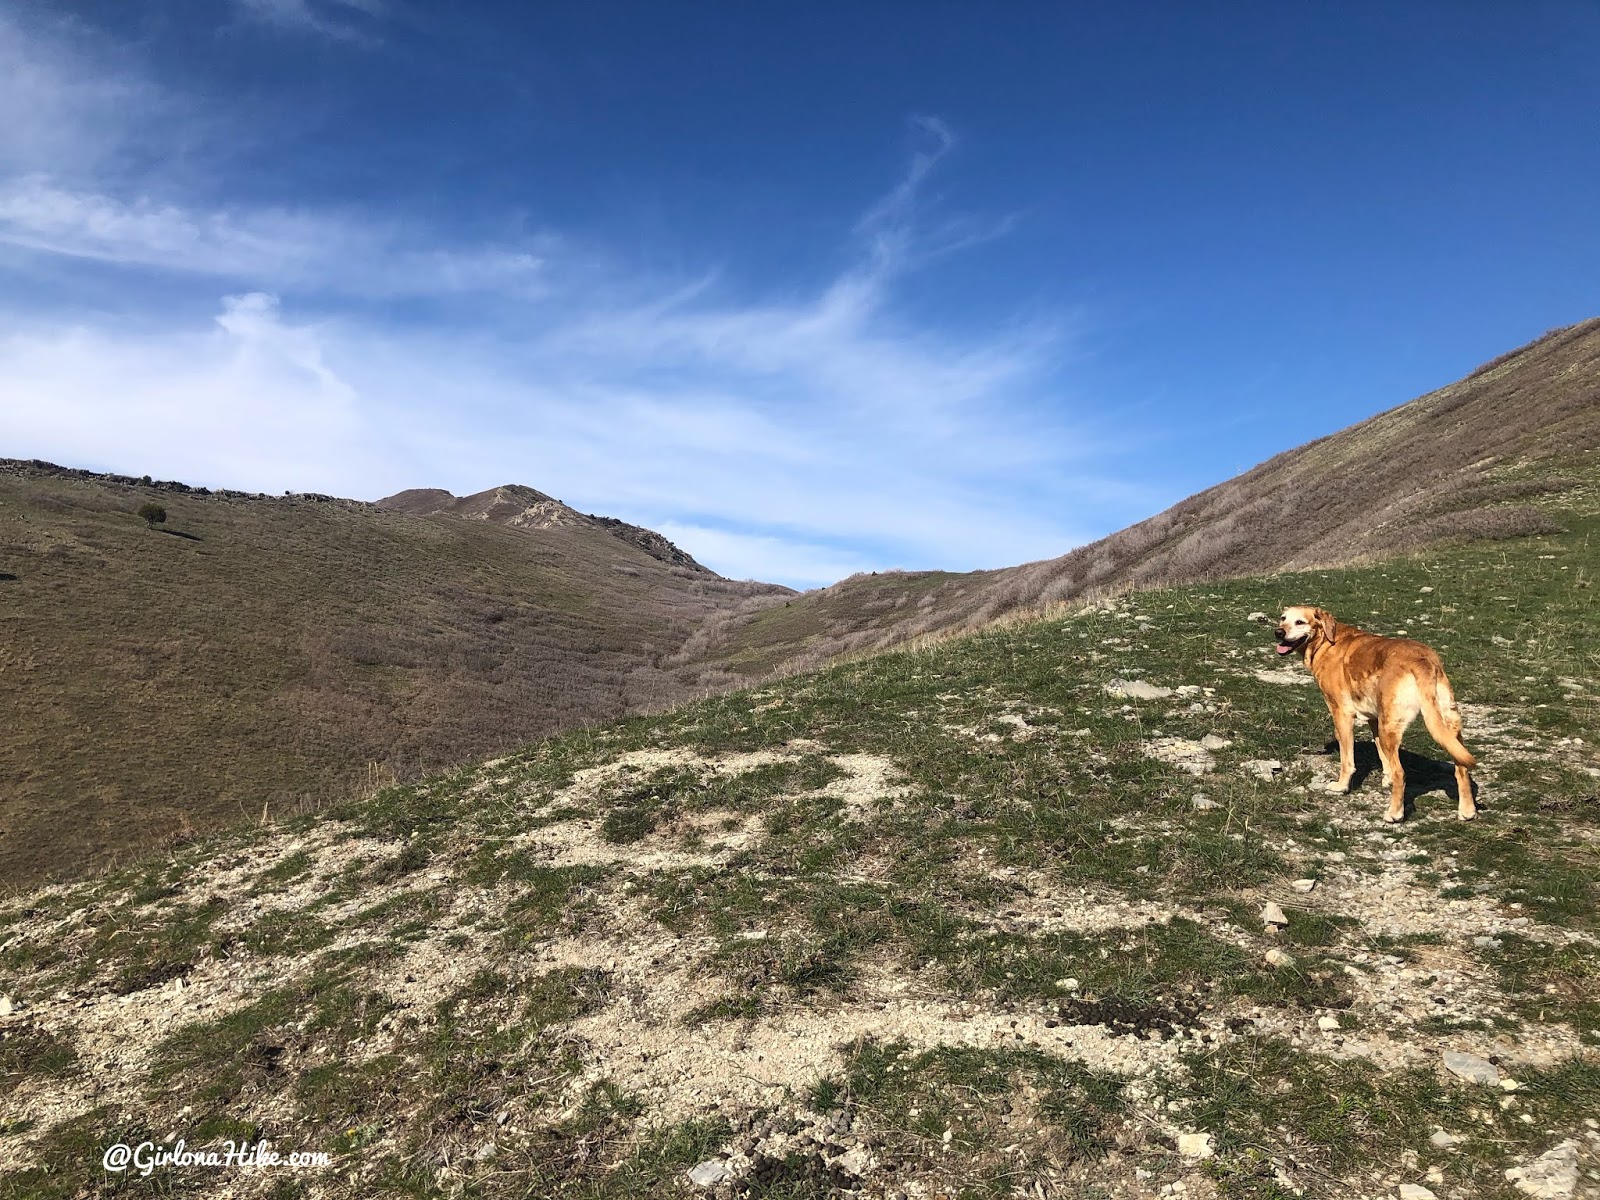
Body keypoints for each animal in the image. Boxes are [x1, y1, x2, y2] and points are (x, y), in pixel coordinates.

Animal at [1273, 604, 1472, 825]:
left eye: (1300, 622)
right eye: (1283, 618)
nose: (1278, 632)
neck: (1325, 641)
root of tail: (1422, 661)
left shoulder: (1342, 714)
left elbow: (1347, 759)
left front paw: (1342, 786)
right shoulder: (1375, 719)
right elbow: (1381, 753)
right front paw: (1386, 779)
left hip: (1390, 727)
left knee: (1401, 773)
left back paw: (1394, 813)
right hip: (1446, 728)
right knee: (1461, 768)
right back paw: (1467, 811)